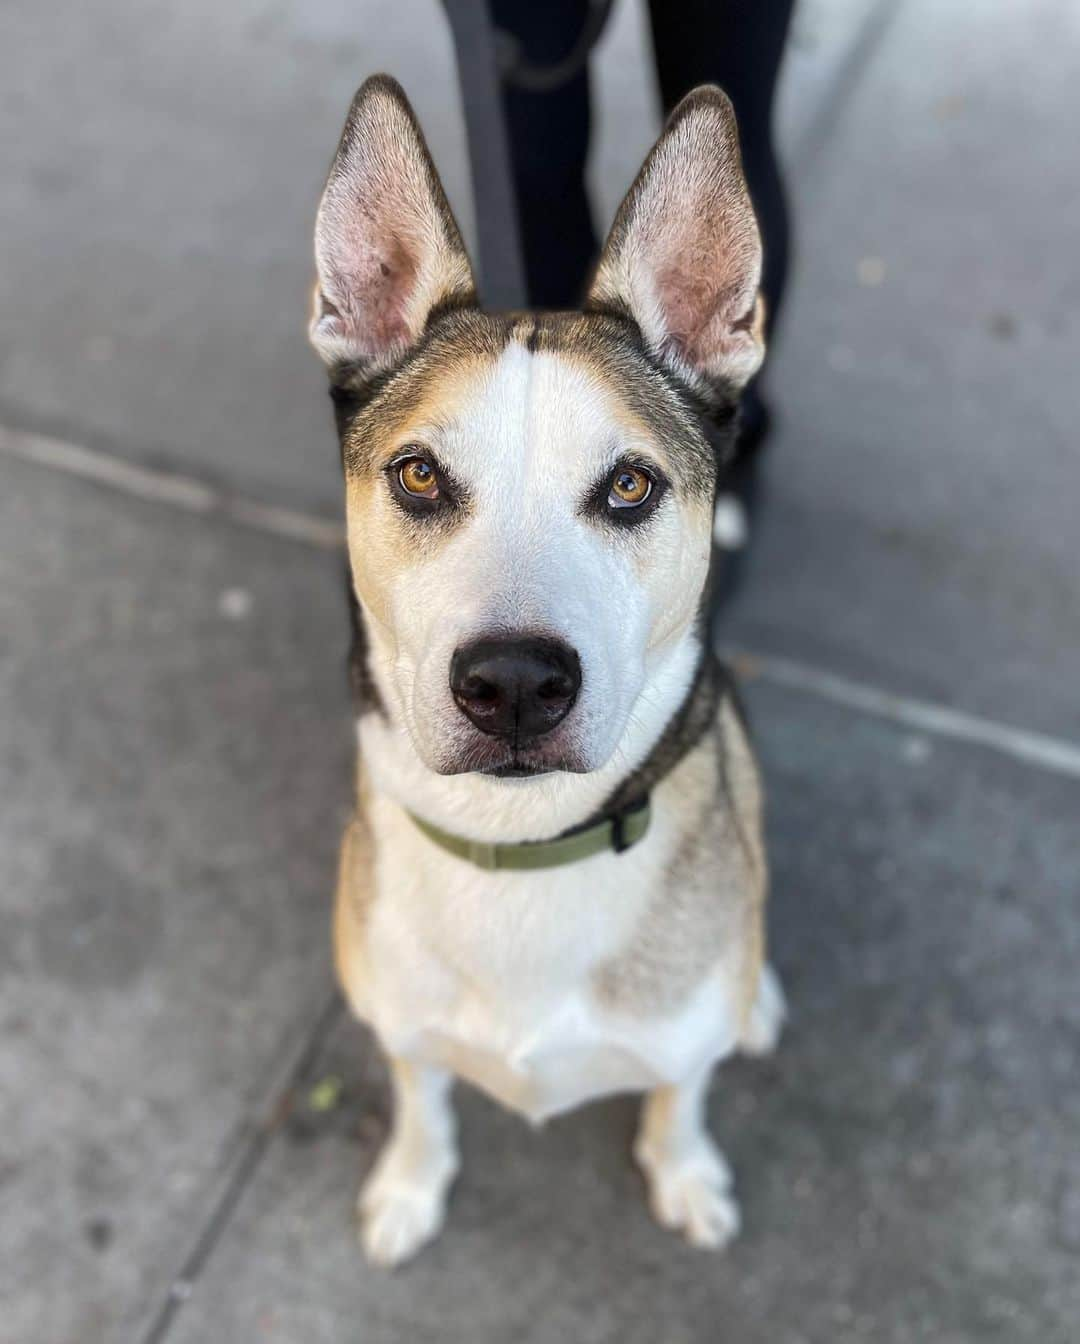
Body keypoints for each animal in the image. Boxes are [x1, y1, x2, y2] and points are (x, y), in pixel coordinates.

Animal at [307, 76, 779, 1268]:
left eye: (629, 485)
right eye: (419, 475)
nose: (516, 682)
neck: (521, 849)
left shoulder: (679, 1044)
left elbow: (679, 1094)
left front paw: (684, 1173)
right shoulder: (400, 1021)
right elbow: (420, 1093)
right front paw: (409, 1184)